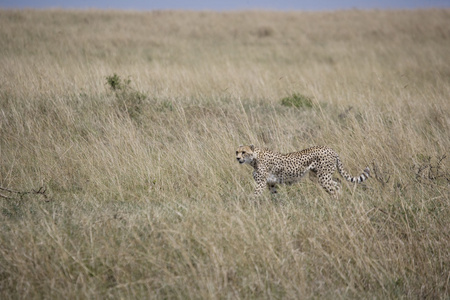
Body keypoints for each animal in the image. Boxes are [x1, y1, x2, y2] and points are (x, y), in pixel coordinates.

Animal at [236, 145, 370, 197]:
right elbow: (275, 196)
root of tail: (331, 149)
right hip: (318, 176)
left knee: (334, 190)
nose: (237, 158)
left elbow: (255, 196)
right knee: (337, 183)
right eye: (237, 151)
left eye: (244, 152)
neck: (254, 159)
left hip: (323, 177)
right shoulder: (271, 183)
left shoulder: (261, 183)